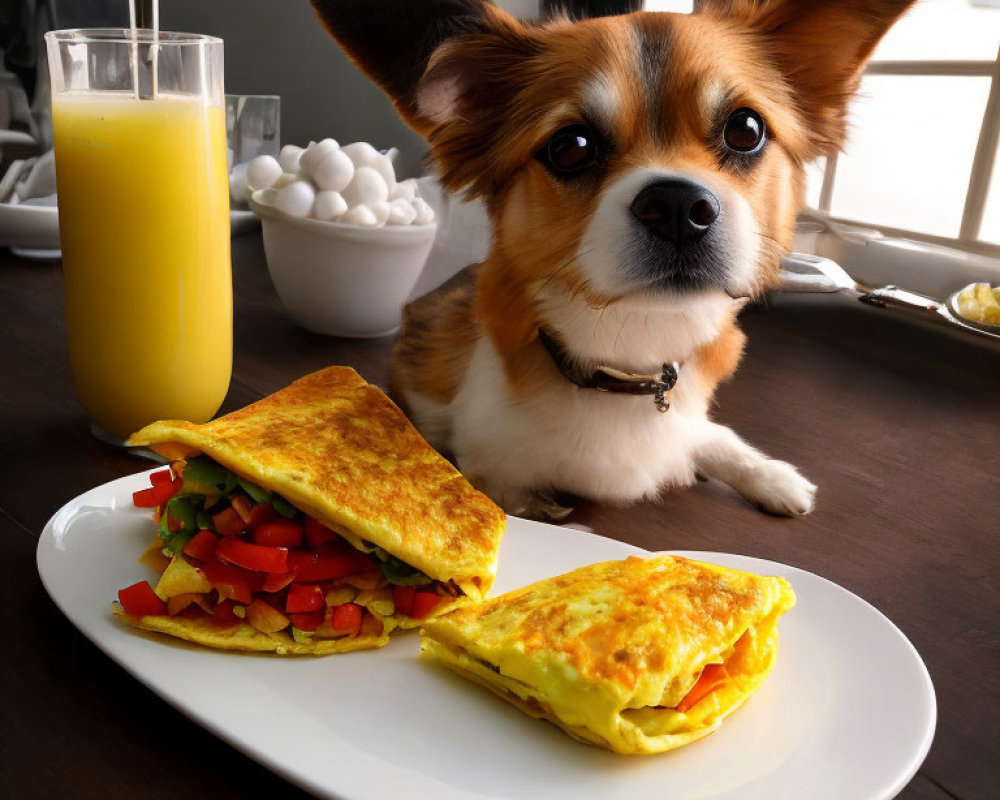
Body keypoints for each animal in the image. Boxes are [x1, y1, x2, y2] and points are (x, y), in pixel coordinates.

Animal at [312, 0, 916, 520]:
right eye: (570, 147)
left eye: (746, 130)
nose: (678, 206)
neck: (630, 357)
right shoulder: (493, 474)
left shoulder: (687, 418)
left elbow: (713, 437)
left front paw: (771, 476)